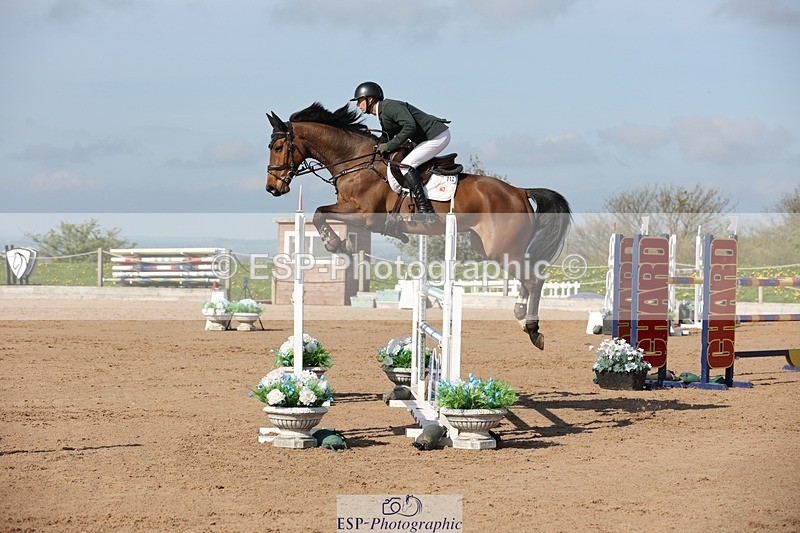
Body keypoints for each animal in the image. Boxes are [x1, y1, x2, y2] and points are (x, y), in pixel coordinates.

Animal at [265, 102, 571, 350]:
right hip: (491, 247)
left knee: (534, 279)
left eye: (278, 148)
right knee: (529, 277)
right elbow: (320, 214)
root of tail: (520, 192)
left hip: (503, 248)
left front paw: (336, 243)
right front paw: (343, 244)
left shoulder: (365, 215)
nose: (272, 188)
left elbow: (319, 214)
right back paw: (520, 314)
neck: (357, 161)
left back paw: (532, 329)